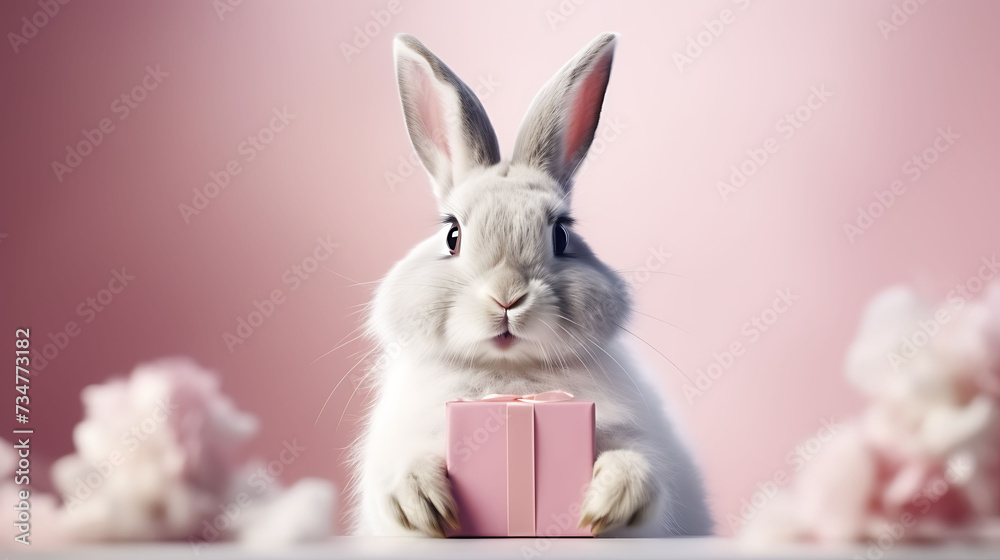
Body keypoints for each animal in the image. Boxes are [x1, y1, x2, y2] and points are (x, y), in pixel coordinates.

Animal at [349, 32, 713, 538]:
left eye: (561, 235)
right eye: (452, 235)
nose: (507, 297)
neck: (510, 376)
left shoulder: (642, 443)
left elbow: (639, 469)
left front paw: (610, 503)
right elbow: (402, 473)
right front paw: (422, 503)